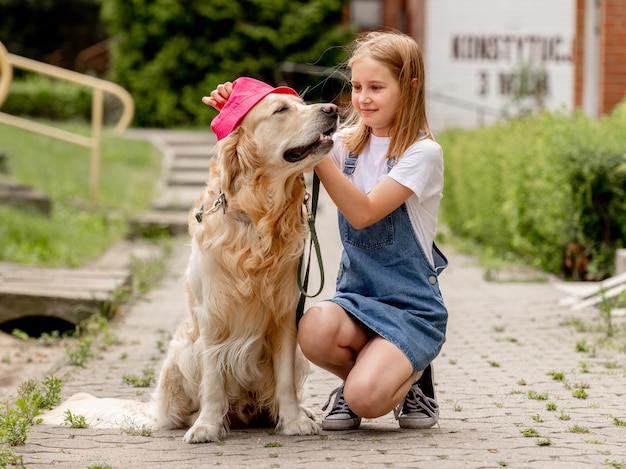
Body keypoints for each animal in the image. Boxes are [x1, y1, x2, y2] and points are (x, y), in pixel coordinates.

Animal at [40, 92, 336, 442]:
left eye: (302, 103)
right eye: (281, 110)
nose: (333, 109)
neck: (257, 221)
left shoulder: (286, 313)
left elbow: (285, 380)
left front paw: (294, 420)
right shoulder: (211, 319)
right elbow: (212, 382)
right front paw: (206, 426)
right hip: (183, 350)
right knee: (183, 409)